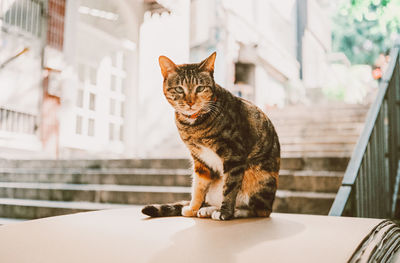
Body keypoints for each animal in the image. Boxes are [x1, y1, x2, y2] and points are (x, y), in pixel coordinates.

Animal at [142, 51, 280, 221]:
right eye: (179, 89)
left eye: (200, 88)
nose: (190, 102)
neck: (194, 126)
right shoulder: (200, 160)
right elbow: (198, 187)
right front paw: (193, 208)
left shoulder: (234, 155)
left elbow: (230, 188)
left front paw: (225, 212)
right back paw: (207, 209)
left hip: (259, 180)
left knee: (259, 210)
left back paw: (235, 211)